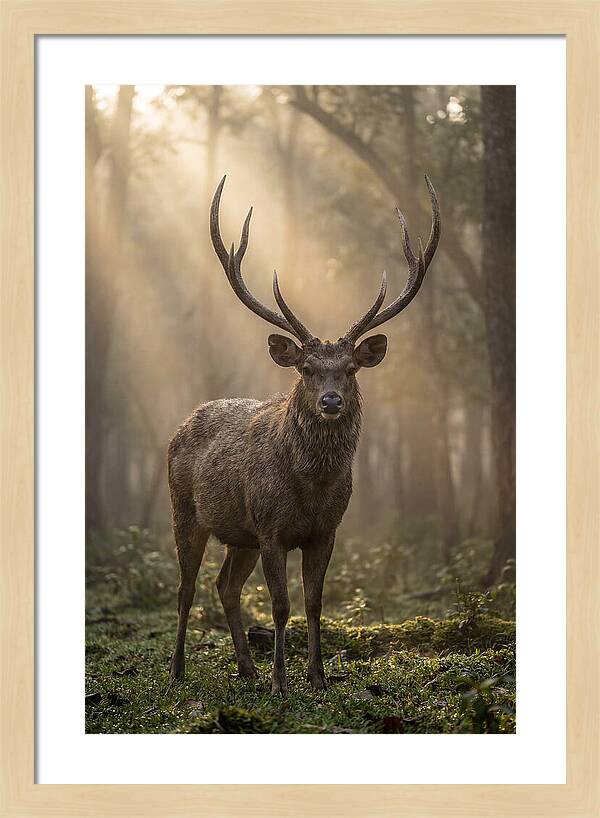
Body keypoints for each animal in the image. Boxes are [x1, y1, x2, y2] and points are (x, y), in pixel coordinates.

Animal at [168, 175, 440, 693]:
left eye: (351, 369)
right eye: (308, 369)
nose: (331, 401)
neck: (310, 488)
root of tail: (181, 424)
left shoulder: (326, 531)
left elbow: (314, 603)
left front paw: (316, 677)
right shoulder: (271, 528)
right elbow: (281, 605)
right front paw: (281, 682)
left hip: (240, 534)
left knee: (225, 586)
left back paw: (246, 668)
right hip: (186, 511)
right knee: (187, 587)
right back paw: (177, 671)